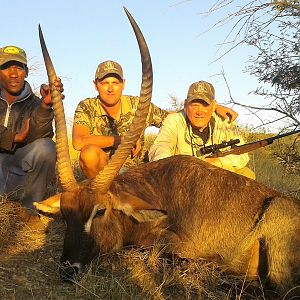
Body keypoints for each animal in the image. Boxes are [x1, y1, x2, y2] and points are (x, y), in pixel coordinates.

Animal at [37, 6, 300, 296]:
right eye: (64, 212)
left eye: (100, 211)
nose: (68, 268)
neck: (156, 188)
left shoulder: (177, 245)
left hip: (276, 215)